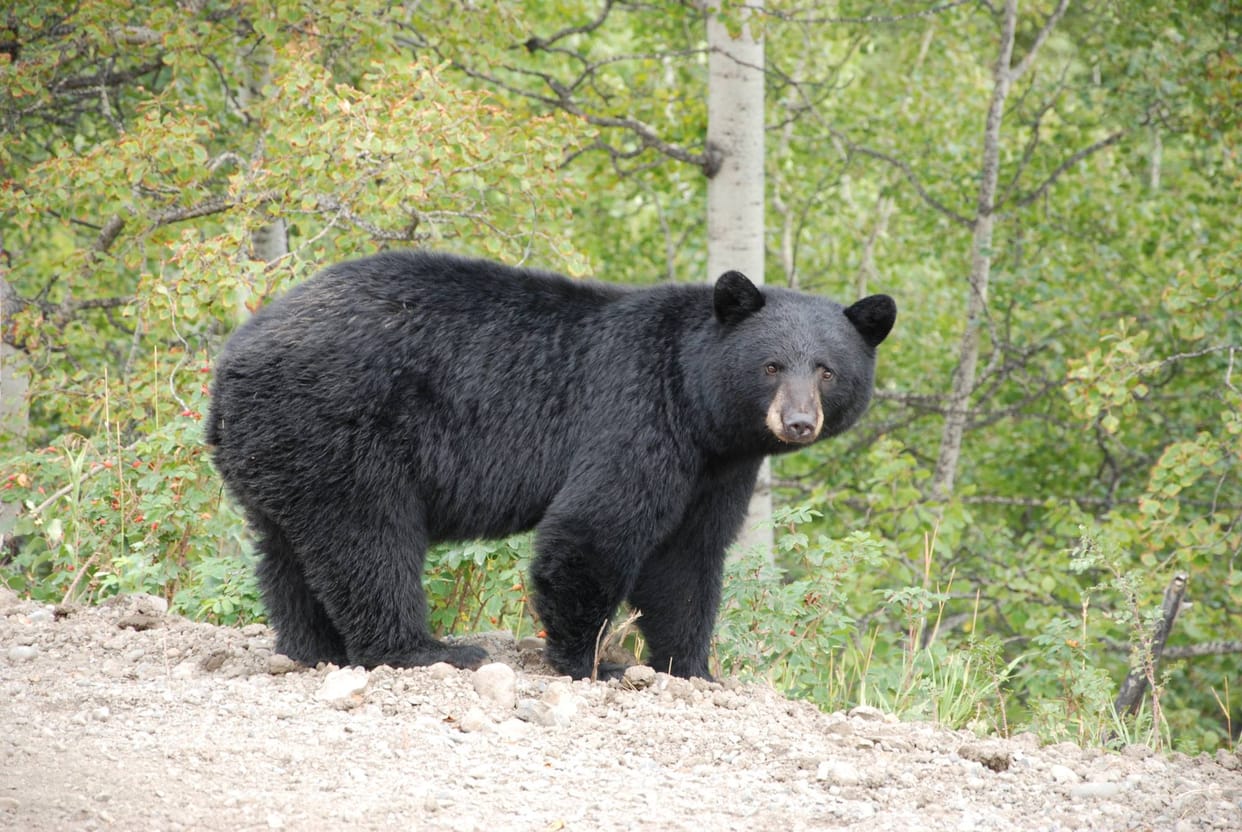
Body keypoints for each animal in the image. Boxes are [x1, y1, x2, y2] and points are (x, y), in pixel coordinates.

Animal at [206, 250, 895, 680]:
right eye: (772, 365)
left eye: (827, 370)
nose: (798, 422)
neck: (698, 404)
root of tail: (232, 361)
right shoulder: (636, 414)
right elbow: (594, 528)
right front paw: (593, 662)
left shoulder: (717, 467)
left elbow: (688, 557)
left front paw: (691, 667)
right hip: (340, 428)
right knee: (368, 540)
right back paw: (423, 650)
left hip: (280, 448)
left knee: (287, 551)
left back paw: (311, 647)